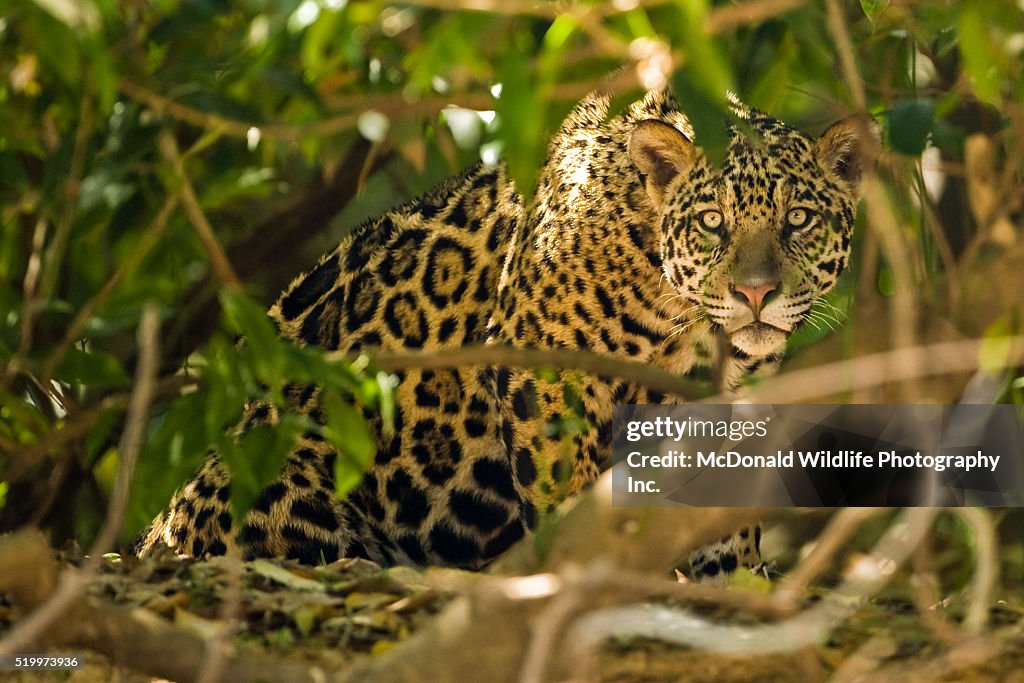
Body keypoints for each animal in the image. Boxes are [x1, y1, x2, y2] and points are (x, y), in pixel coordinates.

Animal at [136, 89, 879, 581]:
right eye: (714, 222)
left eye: (800, 219)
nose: (756, 295)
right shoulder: (545, 371)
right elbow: (567, 489)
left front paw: (733, 581)